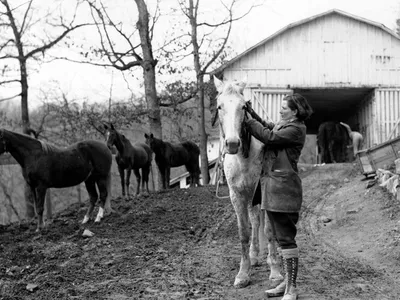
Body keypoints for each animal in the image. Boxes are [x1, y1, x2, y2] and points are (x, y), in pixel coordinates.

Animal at [212, 77, 282, 288]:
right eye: (219, 106)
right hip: (250, 196)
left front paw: (275, 270)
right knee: (255, 220)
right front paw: (243, 273)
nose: (233, 143)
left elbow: (269, 229)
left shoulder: (265, 193)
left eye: (243, 106)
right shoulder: (237, 196)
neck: (243, 157)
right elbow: (244, 231)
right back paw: (254, 256)